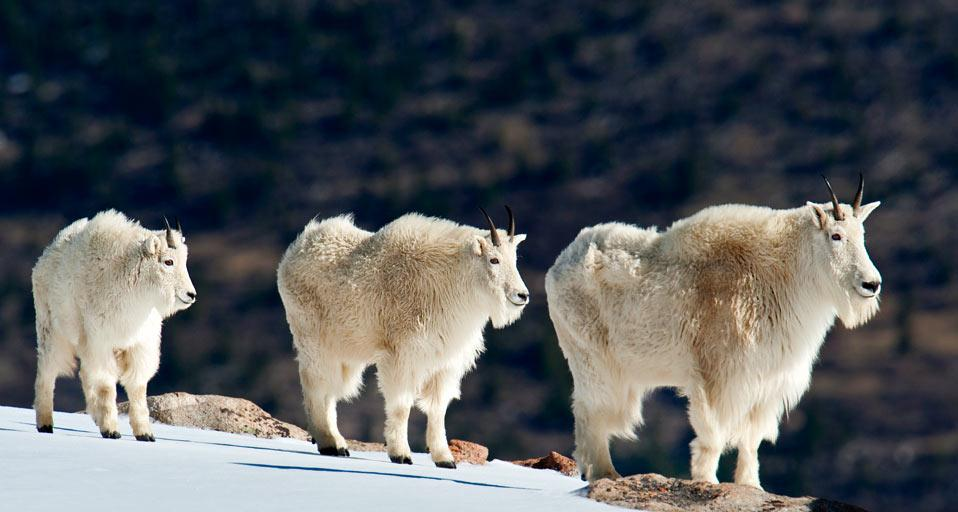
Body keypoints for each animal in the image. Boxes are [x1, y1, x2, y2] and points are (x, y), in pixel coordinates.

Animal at [32, 210, 196, 442]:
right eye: (168, 261)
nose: (191, 295)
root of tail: (45, 257)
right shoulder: (101, 341)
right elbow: (106, 385)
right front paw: (111, 430)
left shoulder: (140, 344)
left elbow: (137, 387)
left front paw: (145, 433)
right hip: (52, 329)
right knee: (48, 371)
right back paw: (45, 423)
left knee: (84, 374)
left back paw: (95, 417)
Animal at [278, 208, 532, 468]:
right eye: (494, 260)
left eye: (515, 259)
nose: (522, 295)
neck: (451, 282)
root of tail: (296, 248)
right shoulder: (402, 355)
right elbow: (401, 405)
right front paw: (401, 454)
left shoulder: (446, 361)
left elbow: (438, 409)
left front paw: (445, 459)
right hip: (313, 338)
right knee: (315, 384)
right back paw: (330, 443)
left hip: (344, 349)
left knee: (330, 390)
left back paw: (337, 442)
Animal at [548, 176, 884, 488]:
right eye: (836, 235)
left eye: (863, 235)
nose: (871, 284)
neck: (784, 272)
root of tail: (559, 264)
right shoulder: (718, 373)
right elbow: (713, 431)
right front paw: (707, 480)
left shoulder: (768, 379)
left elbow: (751, 438)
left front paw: (751, 484)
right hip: (591, 356)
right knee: (590, 409)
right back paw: (604, 472)